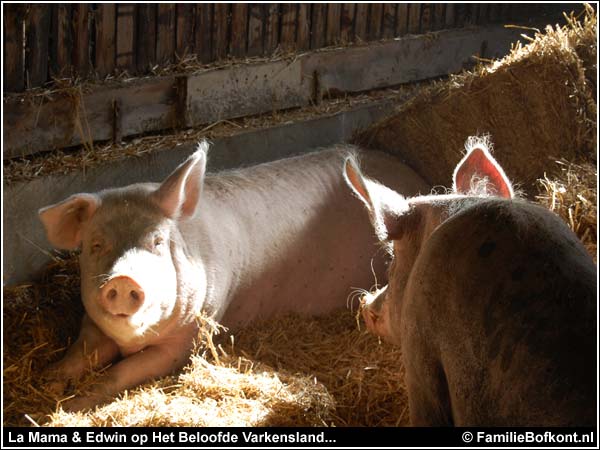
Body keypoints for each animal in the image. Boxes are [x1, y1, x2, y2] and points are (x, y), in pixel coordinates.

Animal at [37, 143, 426, 412]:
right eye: (95, 244)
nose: (123, 281)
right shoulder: (91, 323)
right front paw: (49, 381)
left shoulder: (189, 339)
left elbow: (121, 372)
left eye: (157, 241)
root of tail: (413, 175)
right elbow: (79, 355)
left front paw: (71, 407)